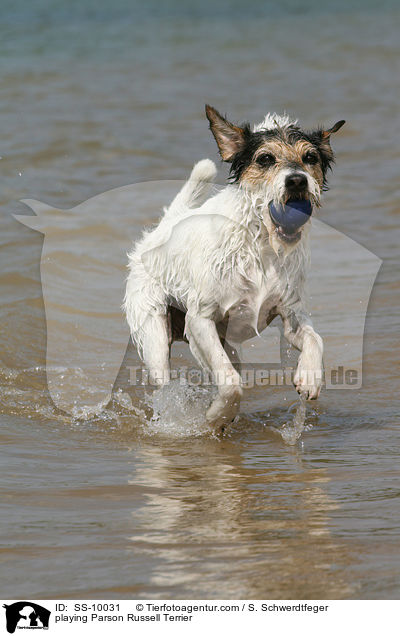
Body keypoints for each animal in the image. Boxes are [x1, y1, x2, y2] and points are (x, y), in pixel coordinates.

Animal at [124, 105, 344, 432]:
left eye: (310, 157)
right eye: (265, 158)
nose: (297, 181)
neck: (261, 244)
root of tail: (162, 230)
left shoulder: (291, 313)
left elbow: (315, 338)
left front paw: (309, 376)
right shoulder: (200, 320)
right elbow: (231, 384)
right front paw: (217, 415)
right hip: (155, 337)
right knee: (167, 381)